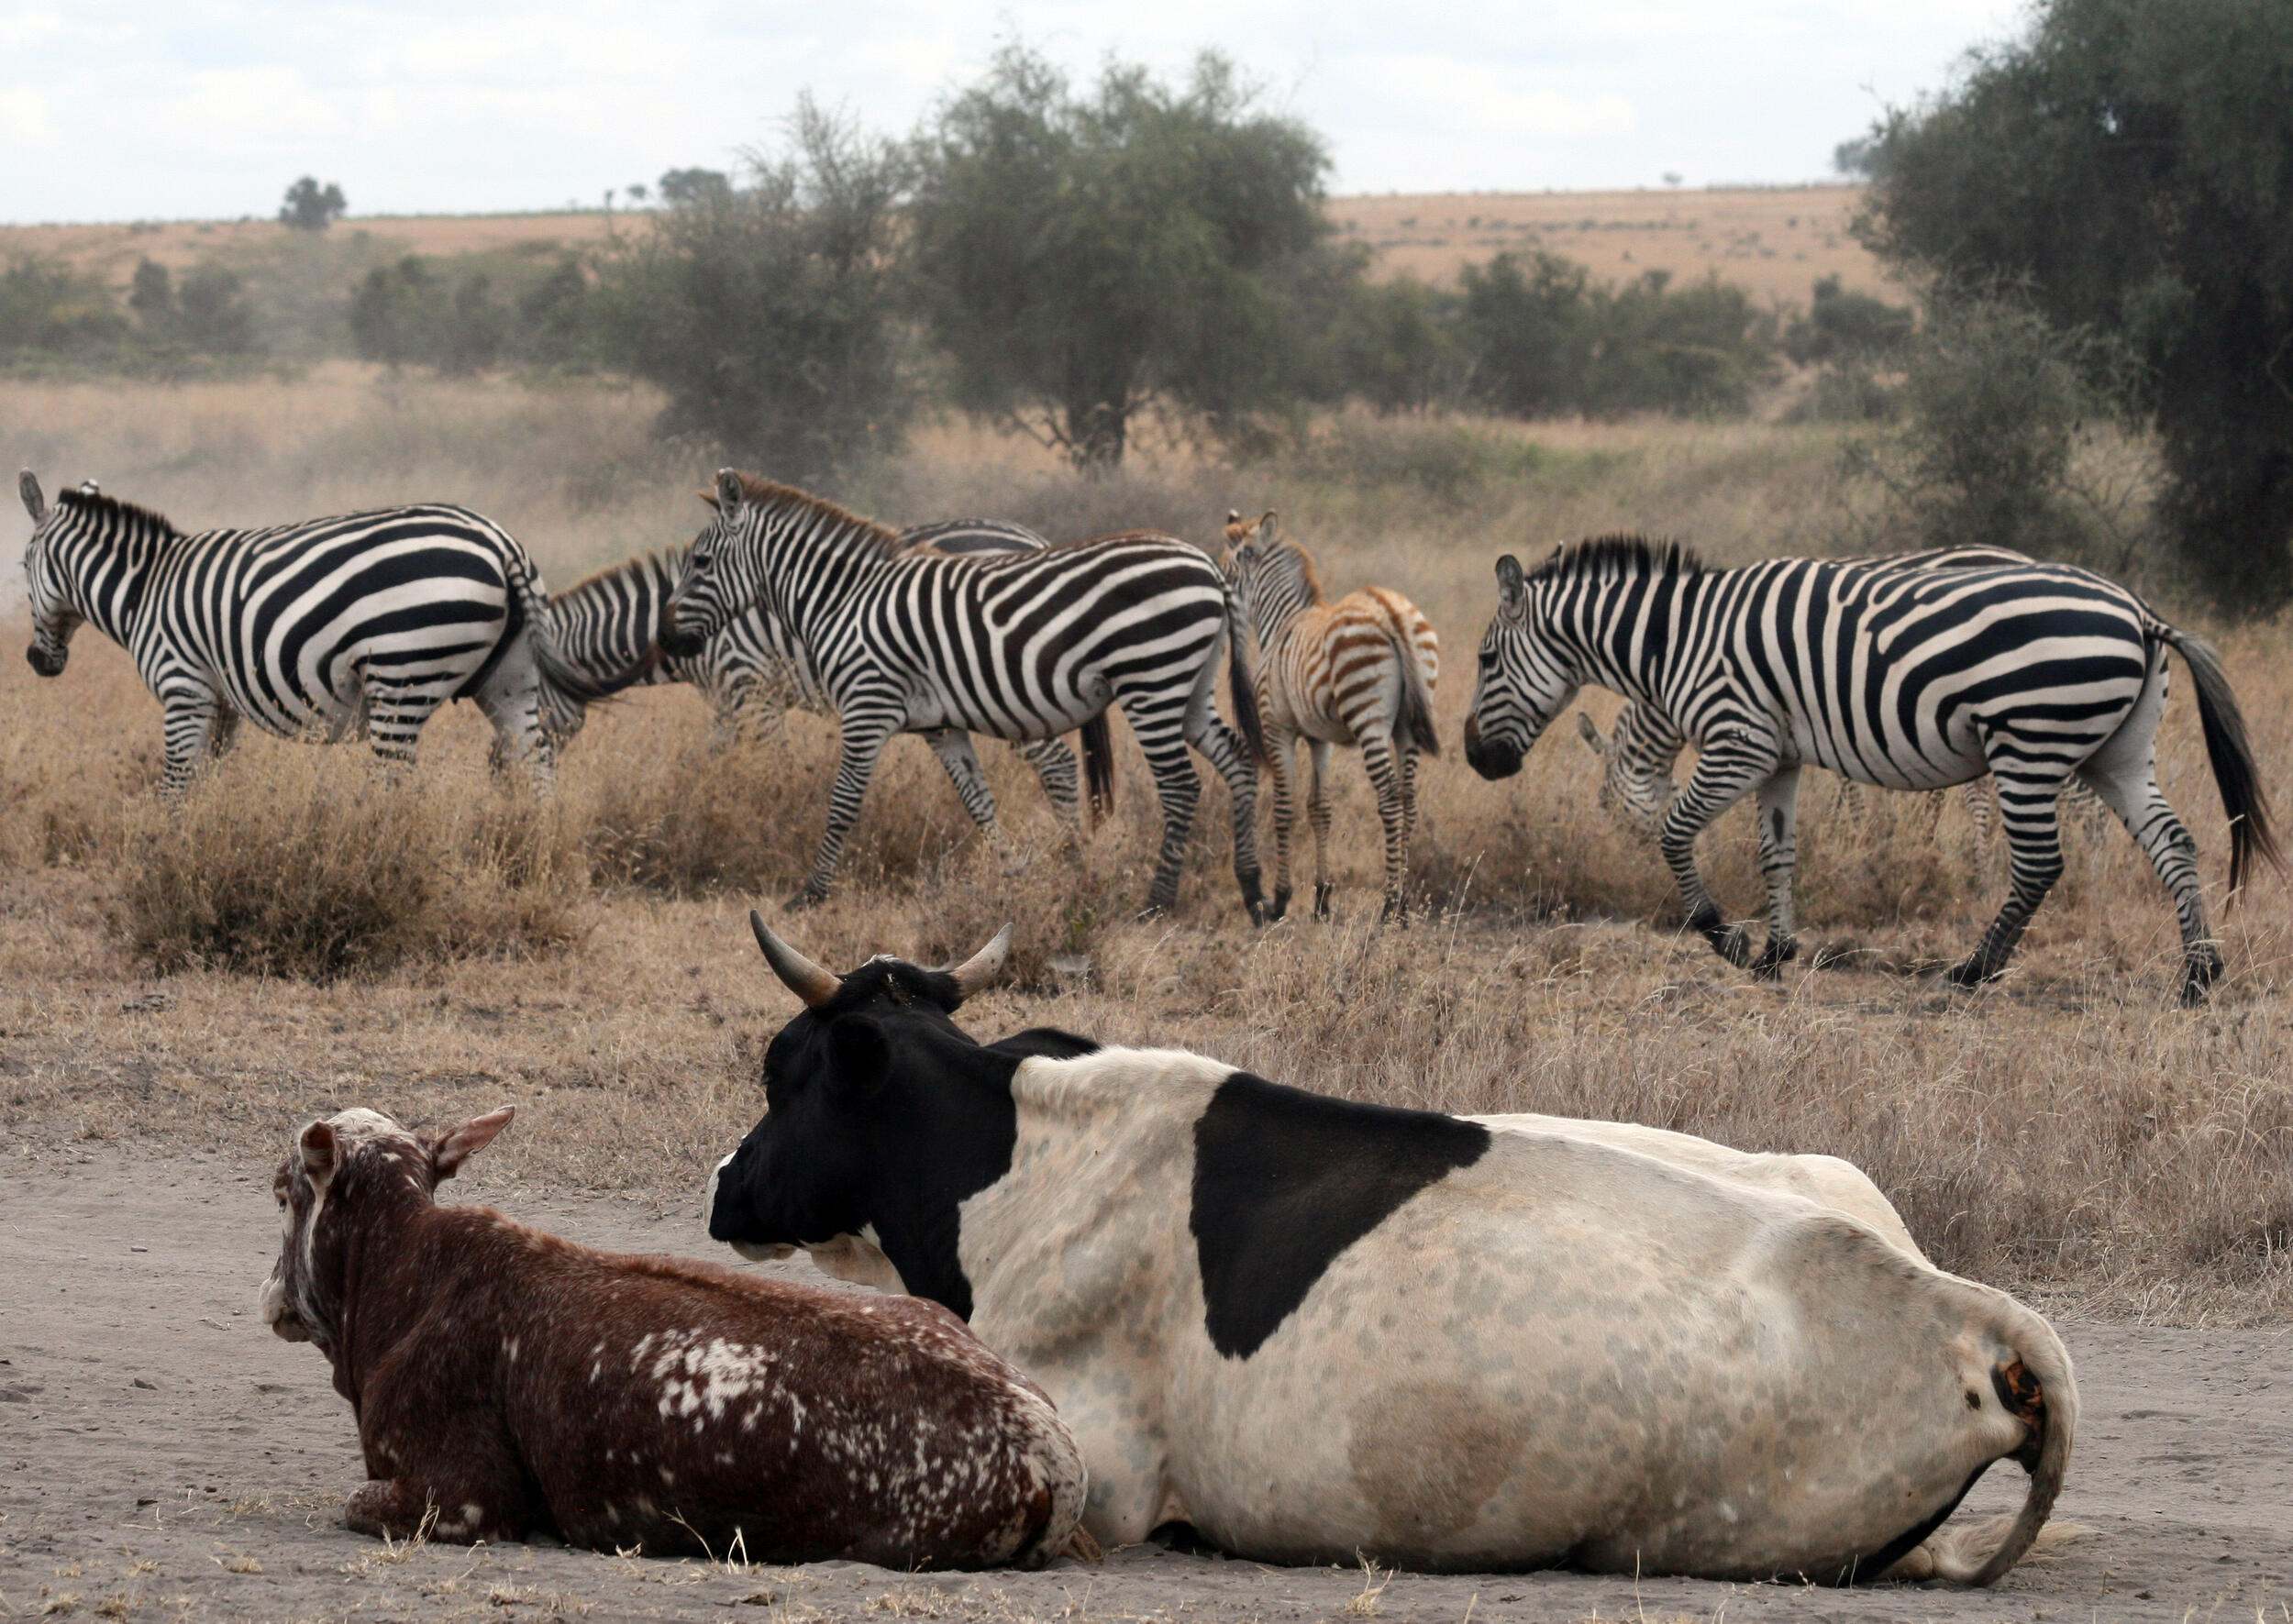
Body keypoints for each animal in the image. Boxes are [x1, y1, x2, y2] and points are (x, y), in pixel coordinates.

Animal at [16, 471, 613, 794]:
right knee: (537, 761)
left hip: (403, 675)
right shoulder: (222, 702)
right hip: (510, 679)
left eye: (21, 568)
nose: (36, 662)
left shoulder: (183, 687)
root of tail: (500, 542)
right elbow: (208, 779)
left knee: (394, 783)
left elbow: (175, 781)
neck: (146, 588)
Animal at [537, 517, 1113, 819]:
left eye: (529, 702)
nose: (519, 787)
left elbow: (775, 762)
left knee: (1057, 765)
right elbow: (706, 760)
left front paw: (778, 815)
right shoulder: (728, 701)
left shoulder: (752, 686)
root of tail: (1035, 540)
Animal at [658, 470, 1267, 919]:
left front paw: (809, 894)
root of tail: (1211, 568)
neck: (842, 600)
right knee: (1238, 762)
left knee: (1182, 786)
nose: (664, 637)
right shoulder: (940, 725)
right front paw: (1016, 874)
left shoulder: (866, 706)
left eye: (701, 562)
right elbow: (978, 801)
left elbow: (843, 803)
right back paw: (1256, 891)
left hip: (1151, 678)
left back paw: (1158, 903)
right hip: (1190, 687)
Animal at [1221, 508, 1440, 923]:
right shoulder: (1320, 738)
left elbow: (1285, 807)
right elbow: (1320, 808)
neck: (1282, 622)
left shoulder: (1278, 728)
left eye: (1228, 568)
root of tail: (1389, 610)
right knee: (1408, 799)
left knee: (1389, 799)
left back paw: (1390, 905)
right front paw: (1322, 899)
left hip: (1368, 718)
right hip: (1407, 724)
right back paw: (1403, 902)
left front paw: (1280, 899)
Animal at [1462, 535, 2281, 1003]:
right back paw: (2198, 975)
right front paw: (1776, 953)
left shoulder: (1739, 741)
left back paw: (1974, 970)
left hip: (2029, 739)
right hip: (2118, 750)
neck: (1677, 638)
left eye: (1485, 658)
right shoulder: (1779, 755)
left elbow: (1674, 832)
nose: (1475, 758)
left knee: (2040, 863)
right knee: (2174, 841)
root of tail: (2139, 611)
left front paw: (1724, 936)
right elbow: (1778, 850)